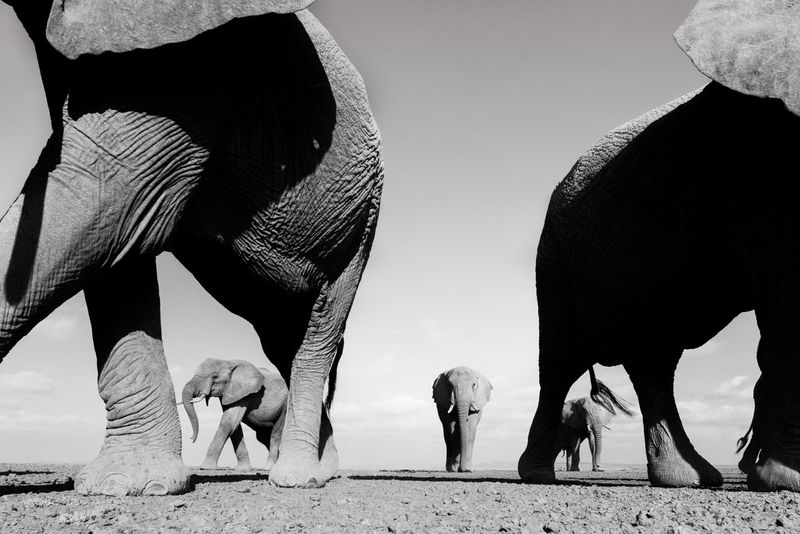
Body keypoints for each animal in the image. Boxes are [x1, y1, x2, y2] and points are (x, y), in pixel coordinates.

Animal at [0, 0, 383, 495]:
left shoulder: (200, 59)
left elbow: (103, 199)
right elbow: (113, 234)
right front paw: (126, 485)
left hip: (361, 223)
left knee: (318, 331)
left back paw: (297, 479)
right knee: (285, 339)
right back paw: (324, 472)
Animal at [518, 0, 800, 492]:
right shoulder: (758, 167)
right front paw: (786, 480)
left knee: (653, 361)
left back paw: (688, 478)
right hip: (554, 259)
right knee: (559, 363)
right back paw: (536, 475)